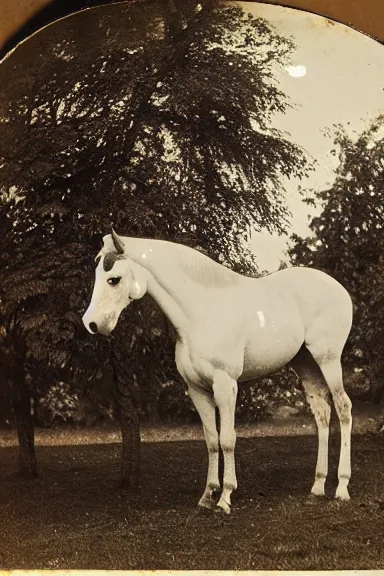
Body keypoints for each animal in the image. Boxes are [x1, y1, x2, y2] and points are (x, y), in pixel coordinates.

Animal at [84, 232, 354, 516]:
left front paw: (225, 497)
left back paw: (341, 487)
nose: (92, 323)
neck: (201, 313)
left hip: (328, 360)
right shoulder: (197, 390)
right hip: (307, 365)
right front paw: (207, 495)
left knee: (343, 408)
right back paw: (318, 486)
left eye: (114, 279)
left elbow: (227, 439)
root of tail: (339, 289)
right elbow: (212, 440)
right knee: (322, 414)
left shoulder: (226, 386)